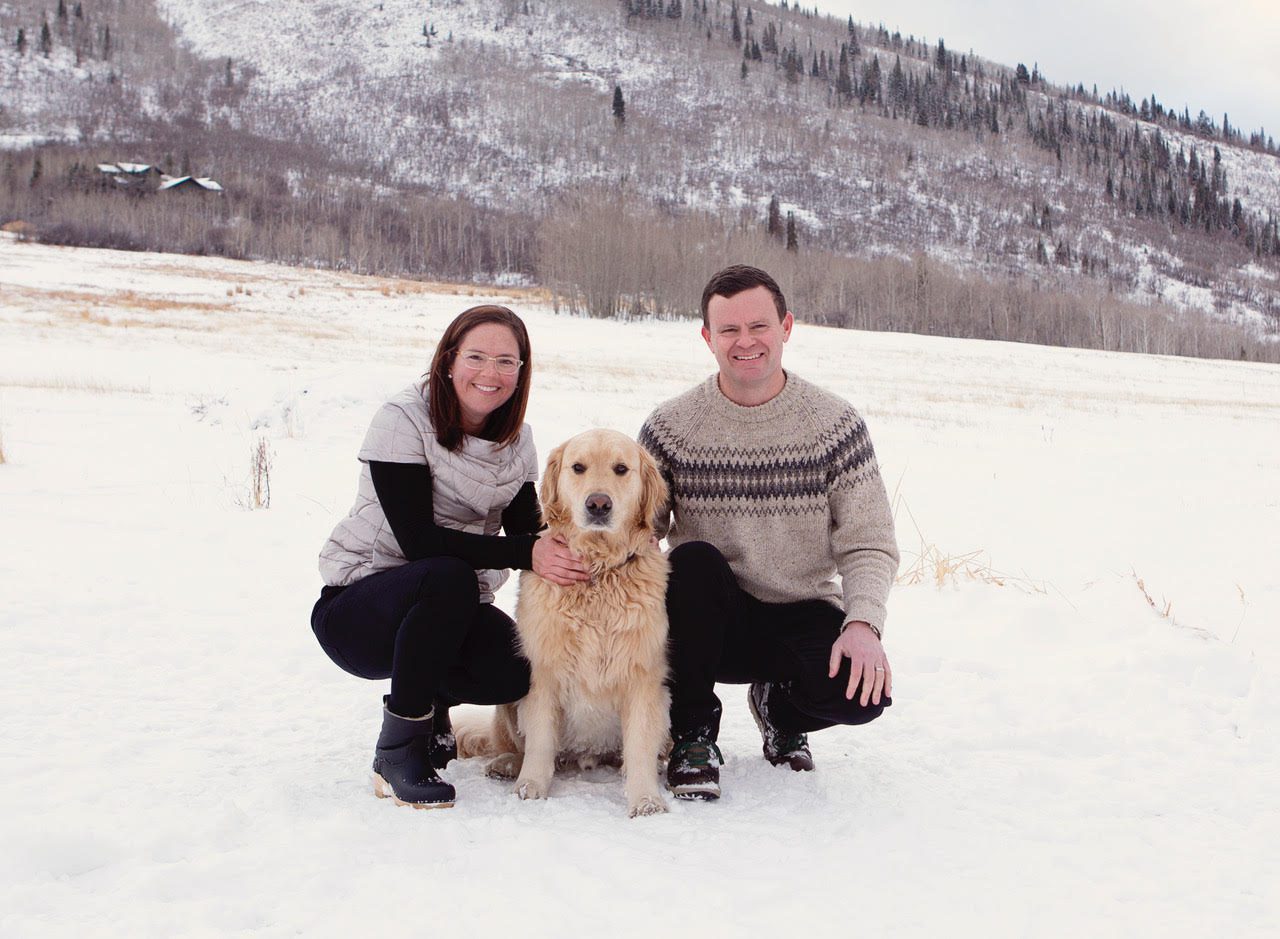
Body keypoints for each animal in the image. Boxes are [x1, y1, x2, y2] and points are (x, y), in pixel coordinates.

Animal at [458, 429, 675, 818]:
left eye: (621, 469)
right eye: (578, 467)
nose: (599, 504)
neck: (596, 572)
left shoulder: (643, 677)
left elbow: (639, 747)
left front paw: (646, 800)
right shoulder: (543, 672)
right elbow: (540, 740)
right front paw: (530, 787)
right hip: (508, 701)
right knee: (515, 744)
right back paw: (507, 764)